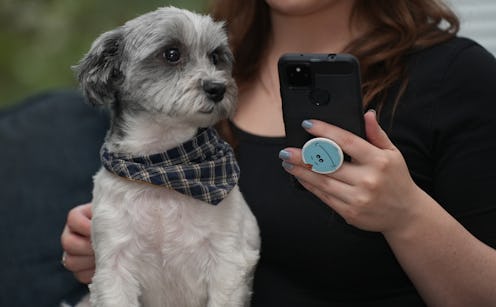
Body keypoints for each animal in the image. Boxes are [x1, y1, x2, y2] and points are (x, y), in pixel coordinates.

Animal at [73, 7, 262, 307]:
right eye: (172, 54)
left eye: (215, 57)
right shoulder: (114, 266)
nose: (217, 88)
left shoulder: (228, 262)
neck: (165, 166)